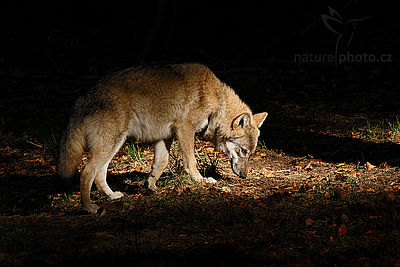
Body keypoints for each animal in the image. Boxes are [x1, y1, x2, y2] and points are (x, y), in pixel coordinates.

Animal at [57, 62, 268, 214]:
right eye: (243, 151)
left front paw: (151, 186)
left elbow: (161, 163)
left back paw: (111, 196)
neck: (217, 102)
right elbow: (191, 162)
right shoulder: (185, 129)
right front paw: (201, 181)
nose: (244, 176)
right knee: (87, 172)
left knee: (100, 174)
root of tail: (84, 97)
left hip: (114, 145)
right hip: (111, 144)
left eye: (251, 154)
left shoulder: (164, 137)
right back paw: (88, 207)